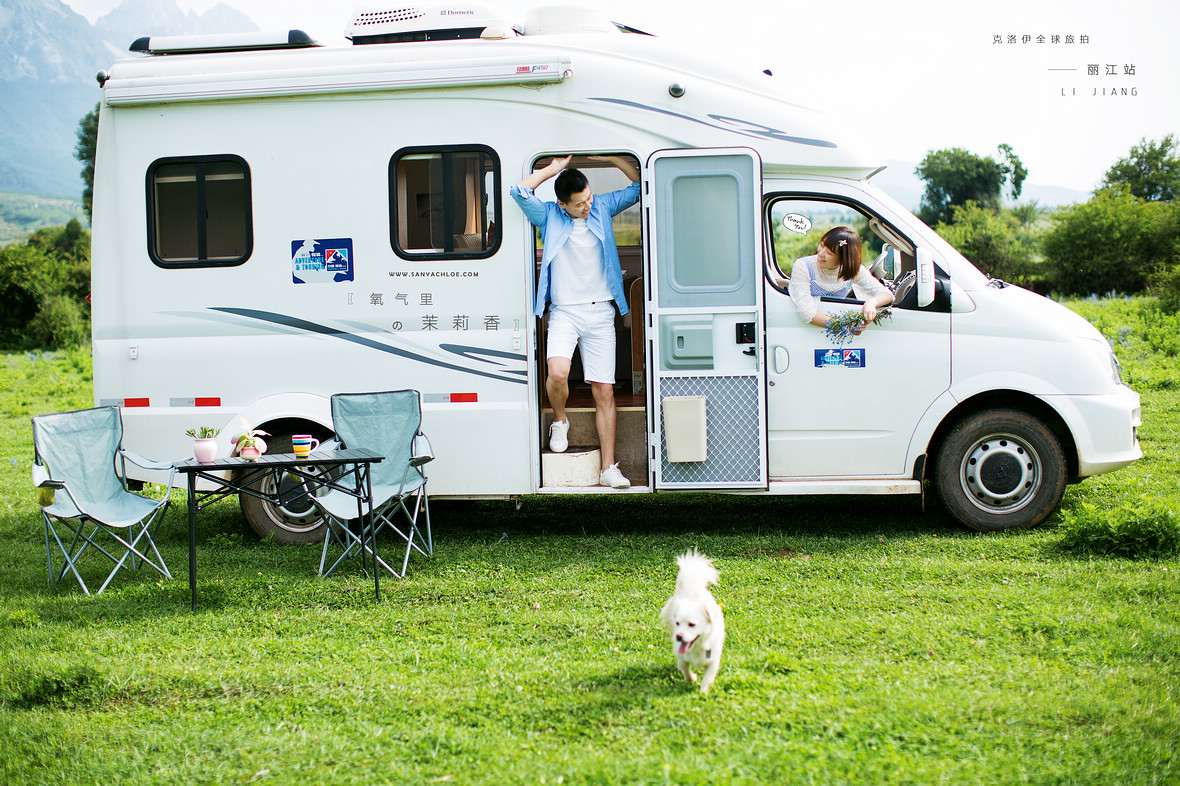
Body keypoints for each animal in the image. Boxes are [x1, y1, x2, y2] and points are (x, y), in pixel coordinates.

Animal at [660, 547, 722, 689]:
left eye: (692, 625)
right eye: (677, 623)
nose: (678, 637)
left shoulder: (712, 661)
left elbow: (707, 680)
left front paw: (703, 692)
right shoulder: (682, 656)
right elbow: (686, 670)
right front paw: (691, 678)